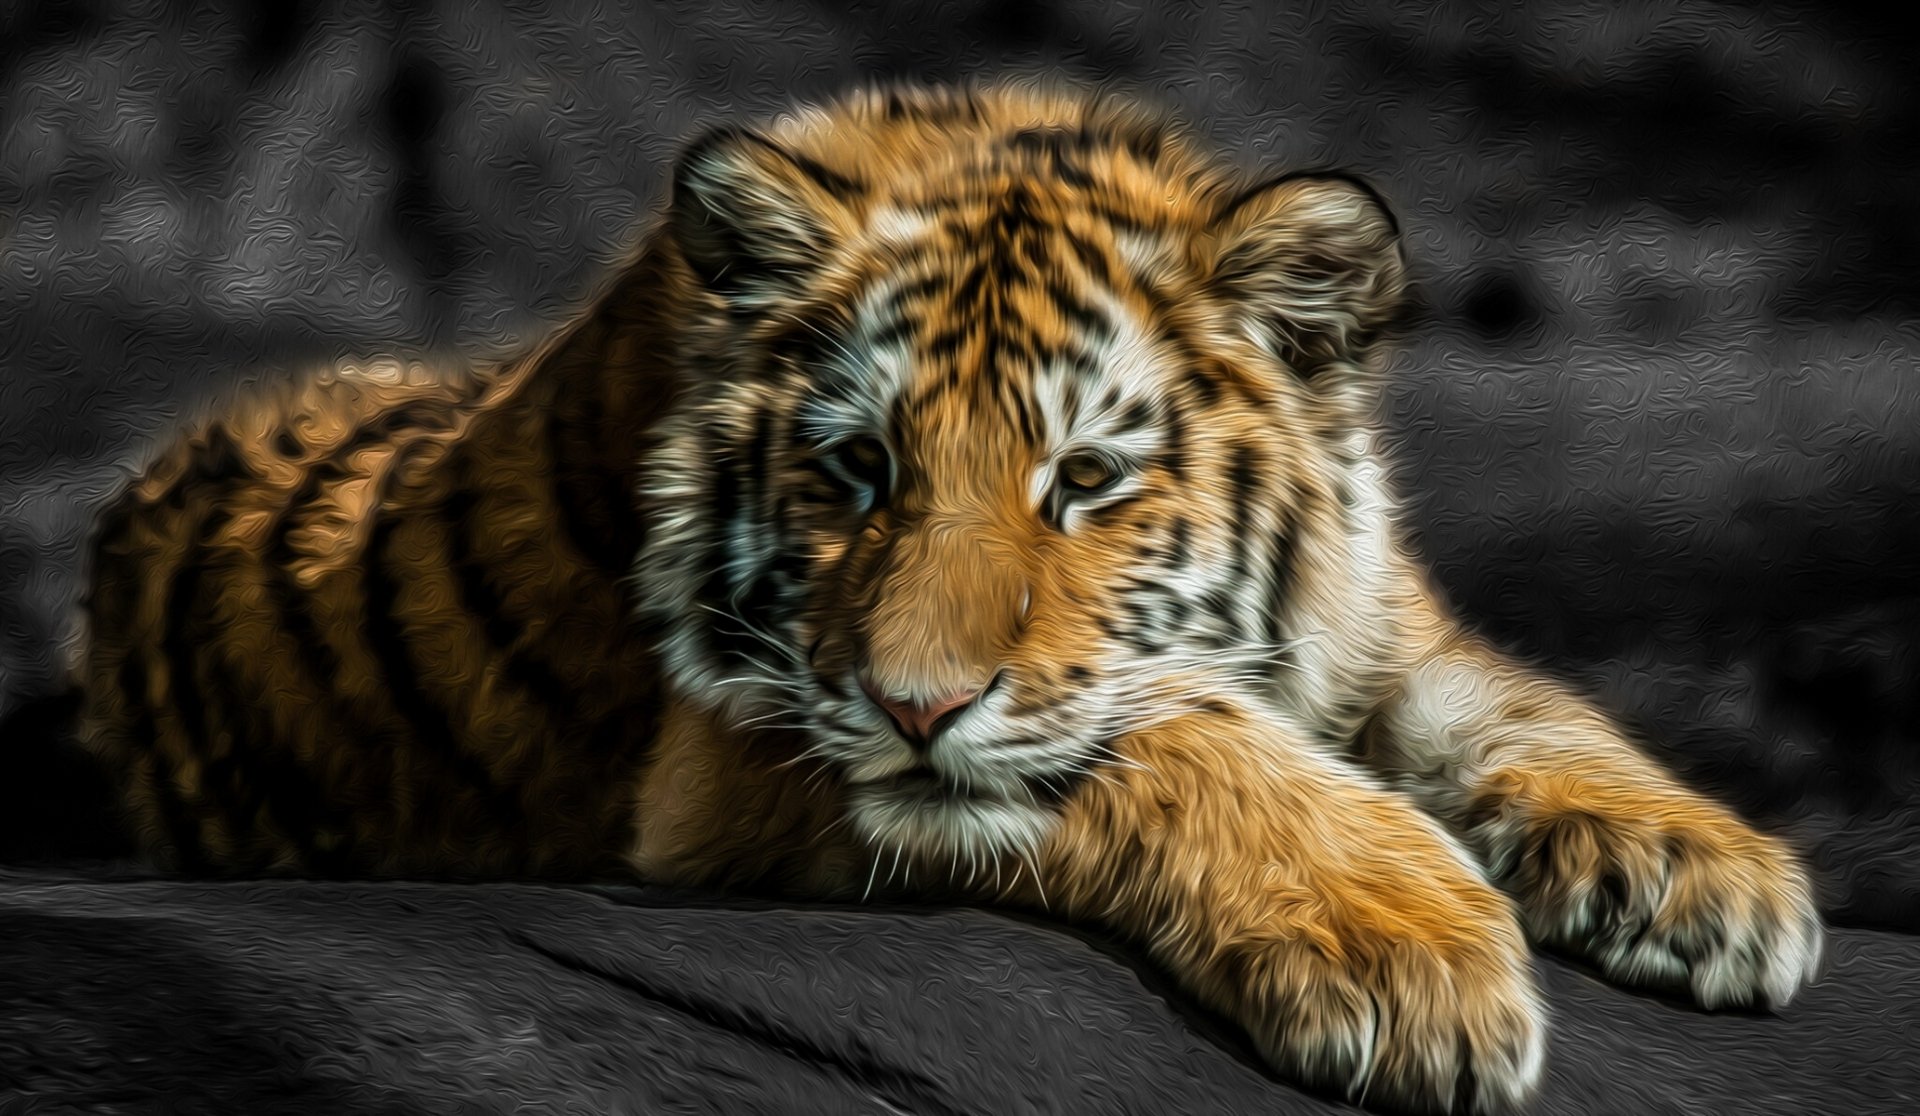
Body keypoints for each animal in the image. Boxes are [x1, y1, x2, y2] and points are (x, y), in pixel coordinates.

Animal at [76, 81, 1824, 1113]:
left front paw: (1712, 879)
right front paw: (1408, 956)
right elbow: (1168, 739)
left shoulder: (1375, 629)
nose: (916, 704)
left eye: (1087, 481)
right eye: (859, 470)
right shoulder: (739, 753)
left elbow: (1508, 702)